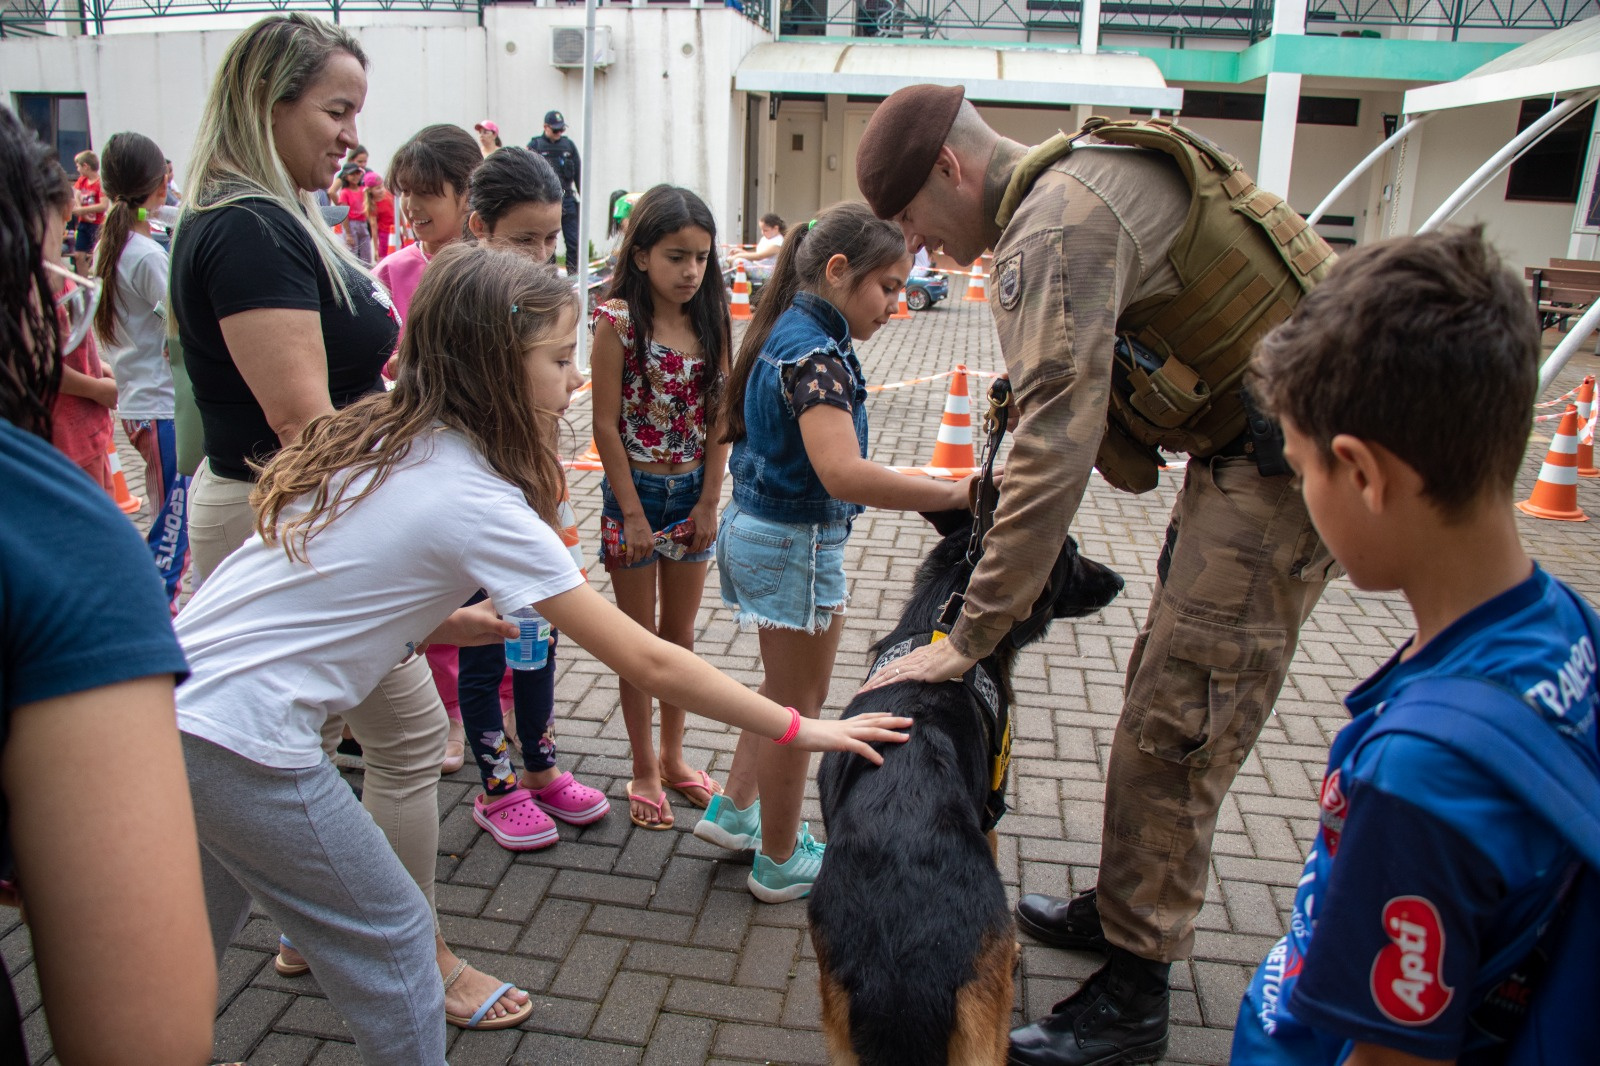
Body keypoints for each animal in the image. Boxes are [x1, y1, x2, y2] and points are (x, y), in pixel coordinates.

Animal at [809, 510, 1124, 1066]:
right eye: (1071, 550)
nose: (1121, 581)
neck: (937, 627)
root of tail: (904, 962)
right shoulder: (990, 813)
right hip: (983, 1042)